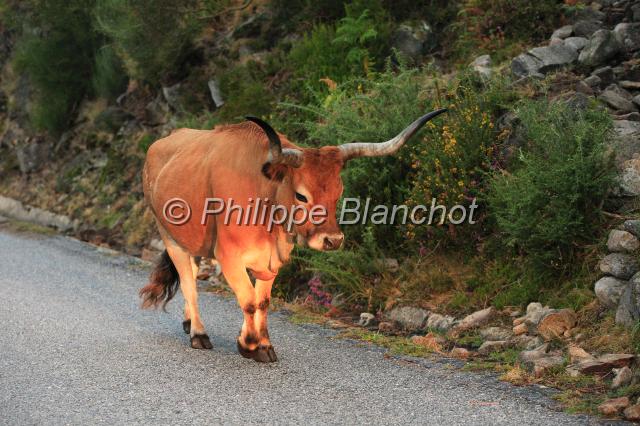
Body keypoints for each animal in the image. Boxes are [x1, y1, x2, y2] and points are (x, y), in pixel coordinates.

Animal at [139, 108, 447, 362]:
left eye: (338, 193)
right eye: (301, 195)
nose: (332, 240)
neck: (264, 197)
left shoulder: (272, 260)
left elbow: (262, 301)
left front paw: (263, 344)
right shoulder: (229, 256)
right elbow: (248, 301)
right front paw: (249, 344)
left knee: (190, 272)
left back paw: (189, 323)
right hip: (169, 236)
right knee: (189, 283)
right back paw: (199, 334)